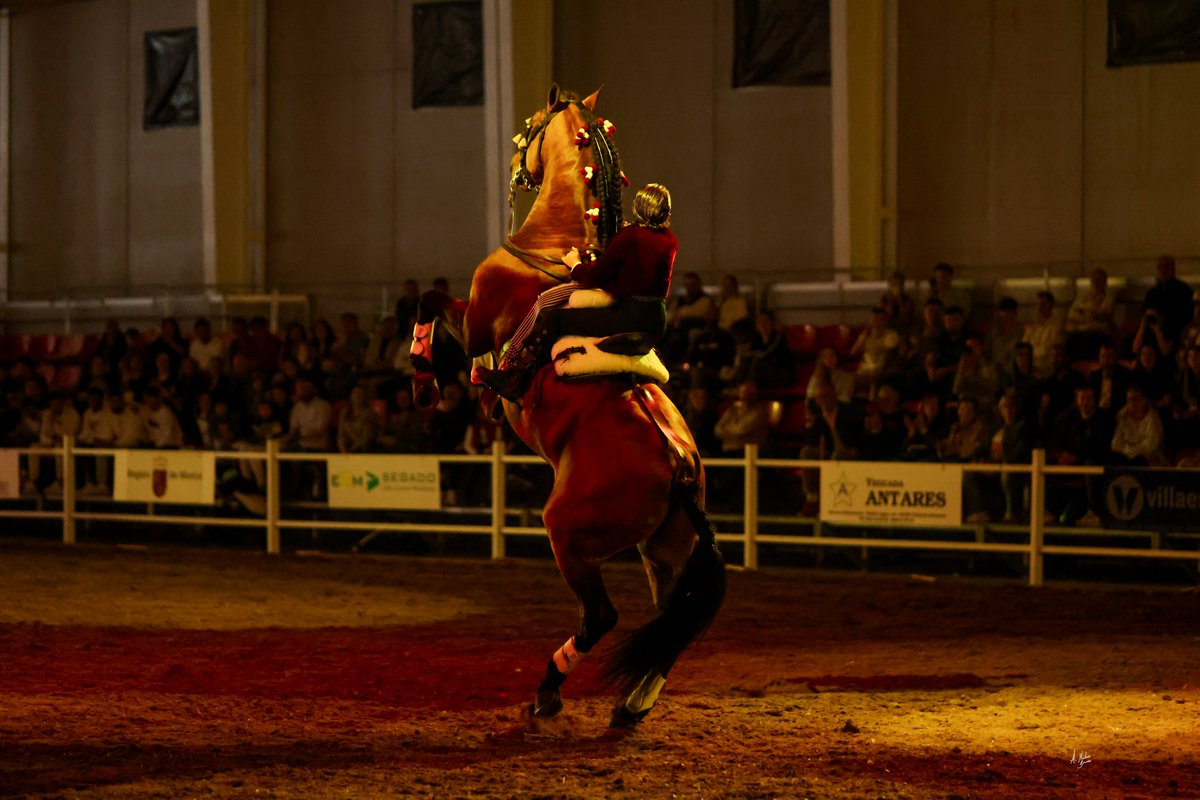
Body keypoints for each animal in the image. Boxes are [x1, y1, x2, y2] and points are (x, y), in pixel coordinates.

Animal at [410, 84, 725, 727]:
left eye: (530, 126)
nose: (516, 167)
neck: (549, 246)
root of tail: (679, 465)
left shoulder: (474, 327)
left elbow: (430, 301)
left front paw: (426, 378)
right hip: (665, 552)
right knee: (669, 622)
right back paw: (631, 704)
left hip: (571, 538)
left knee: (601, 617)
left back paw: (548, 691)